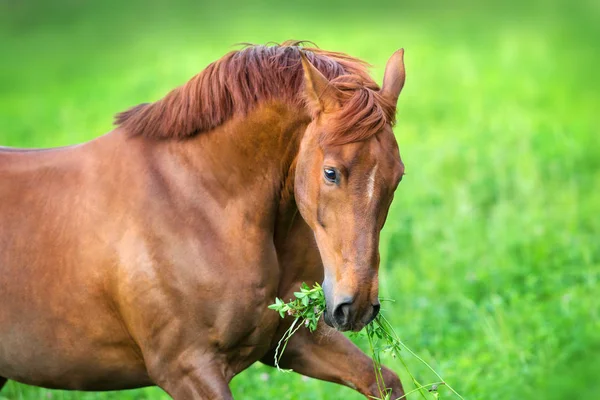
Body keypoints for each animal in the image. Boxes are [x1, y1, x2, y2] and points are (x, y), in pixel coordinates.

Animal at [0, 42, 406, 398]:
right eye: (331, 173)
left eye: (398, 176)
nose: (356, 307)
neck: (200, 201)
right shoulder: (187, 368)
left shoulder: (292, 338)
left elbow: (385, 382)